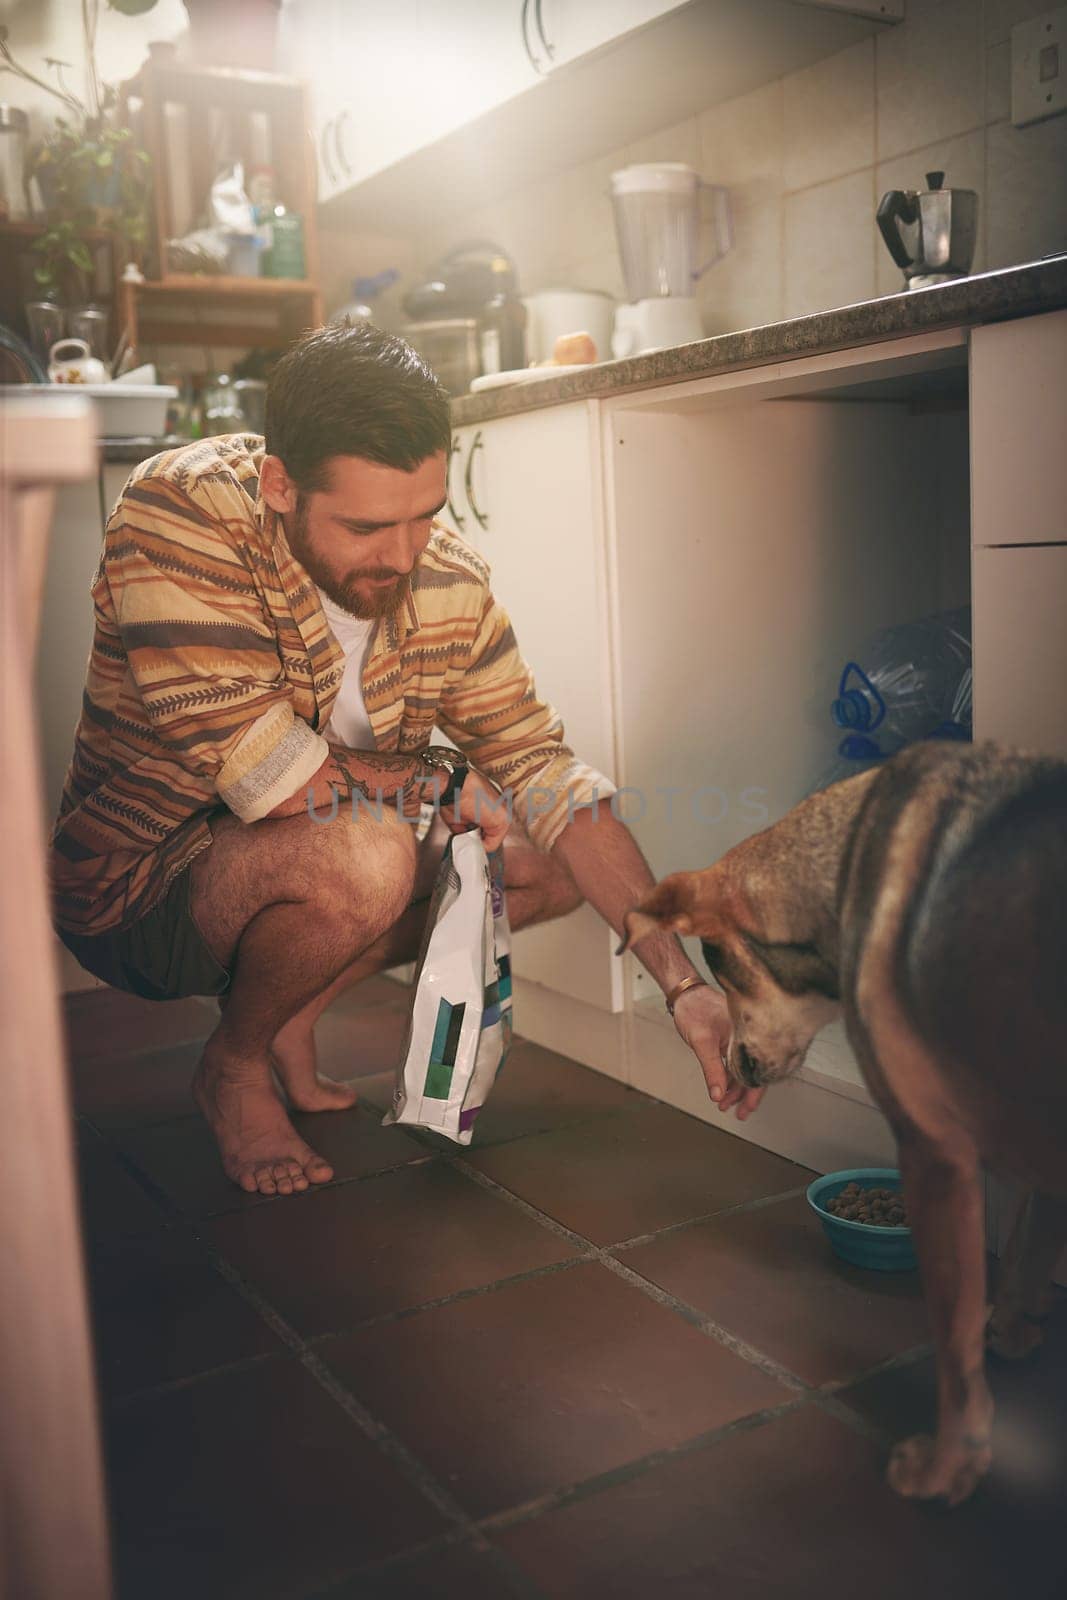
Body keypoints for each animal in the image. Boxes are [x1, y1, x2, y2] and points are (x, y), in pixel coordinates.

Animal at [627, 742, 1067, 1504]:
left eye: (725, 970)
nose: (734, 1066)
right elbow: (1027, 1246)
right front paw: (1013, 1331)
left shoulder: (934, 1151)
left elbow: (955, 1342)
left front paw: (944, 1468)